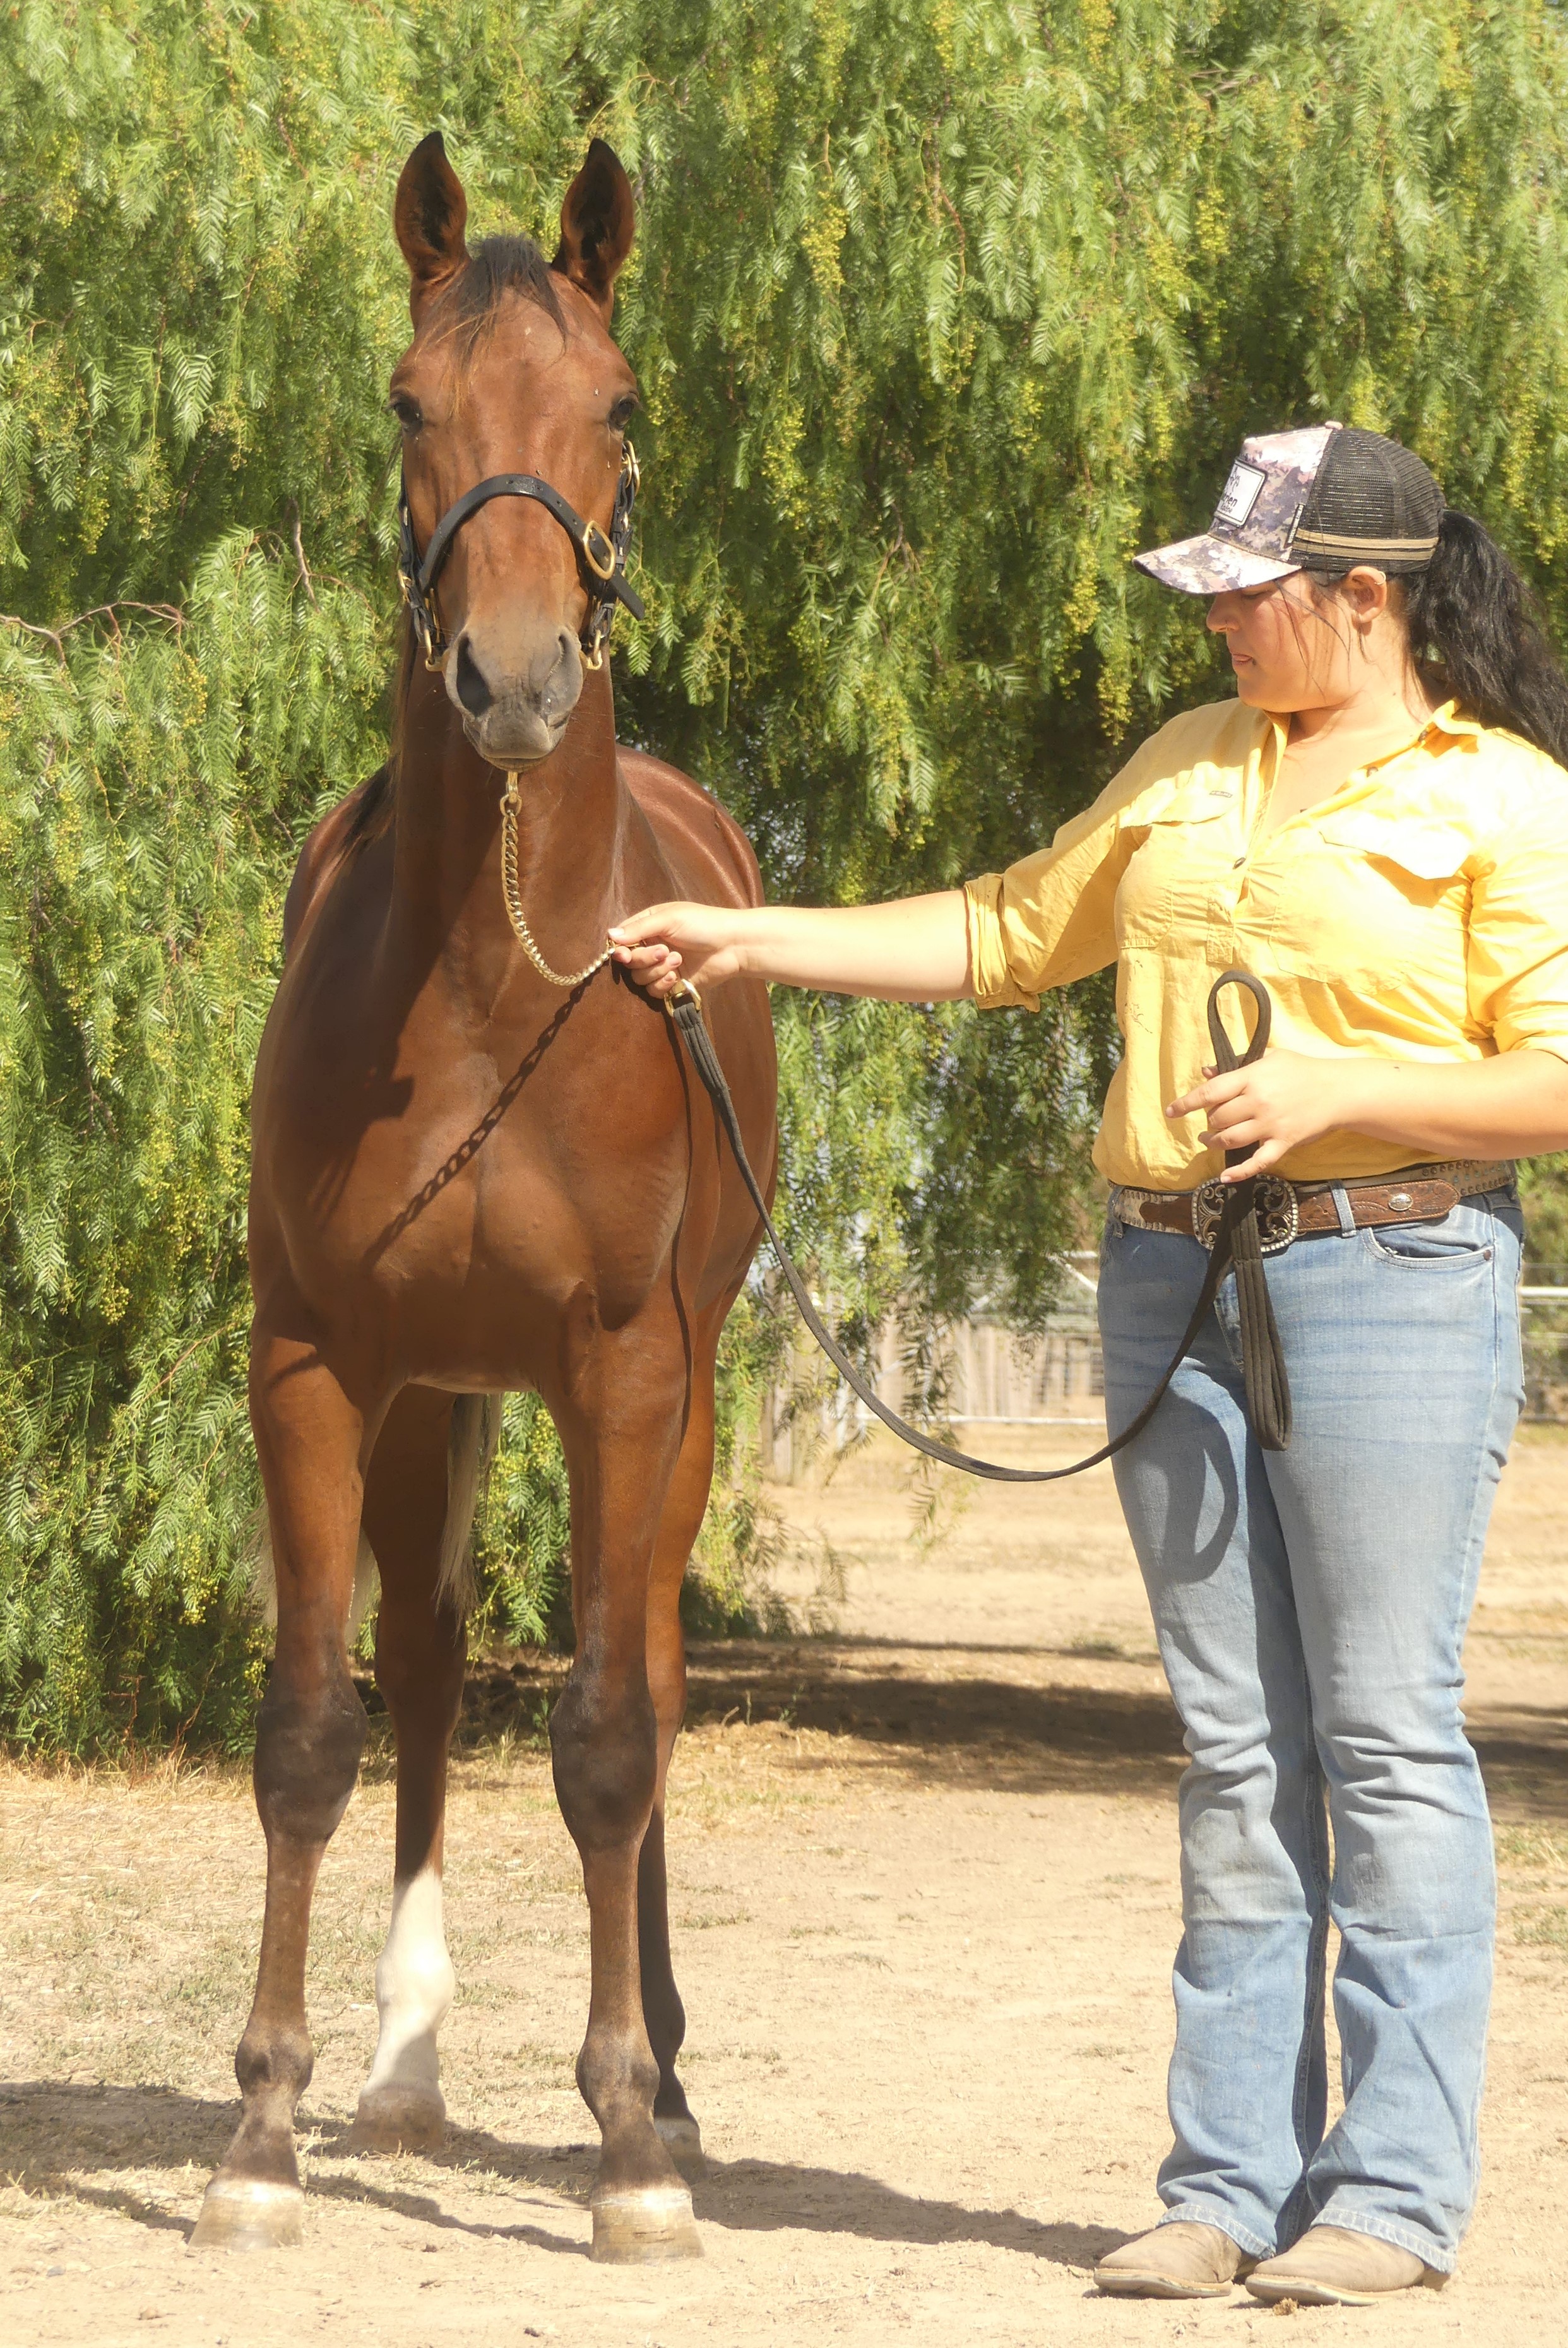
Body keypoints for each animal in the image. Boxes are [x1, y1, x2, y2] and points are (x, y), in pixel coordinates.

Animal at [191, 131, 778, 2265]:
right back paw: (405, 2064)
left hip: (677, 1412)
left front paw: (626, 2153)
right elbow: (313, 1729)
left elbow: (605, 1737)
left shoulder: (623, 1373)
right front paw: (261, 2132)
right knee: (439, 1677)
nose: (510, 682)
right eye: (404, 402)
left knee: (653, 1681)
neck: (488, 986)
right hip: (430, 1402)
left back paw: (667, 2088)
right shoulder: (312, 1365)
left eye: (616, 402)